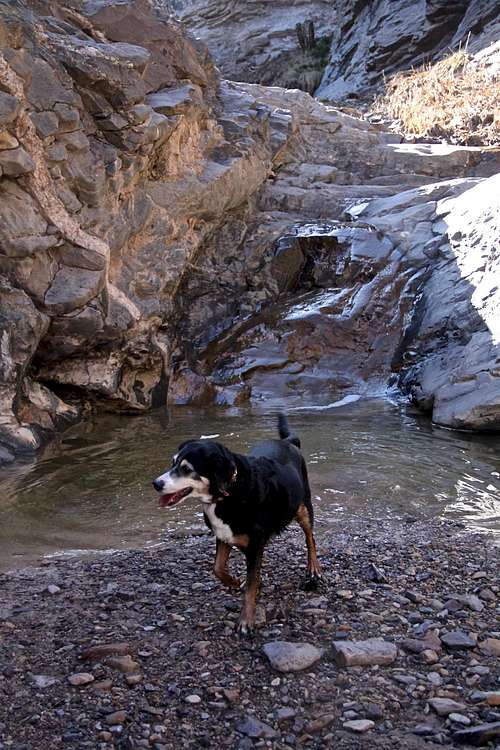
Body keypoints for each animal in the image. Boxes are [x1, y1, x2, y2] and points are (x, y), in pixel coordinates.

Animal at [152, 414, 322, 636]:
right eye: (173, 463)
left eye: (187, 469)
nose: (156, 484)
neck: (229, 491)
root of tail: (287, 442)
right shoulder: (223, 535)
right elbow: (218, 569)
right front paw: (234, 581)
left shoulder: (255, 544)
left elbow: (250, 587)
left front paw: (245, 621)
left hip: (303, 506)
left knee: (310, 538)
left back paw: (313, 568)